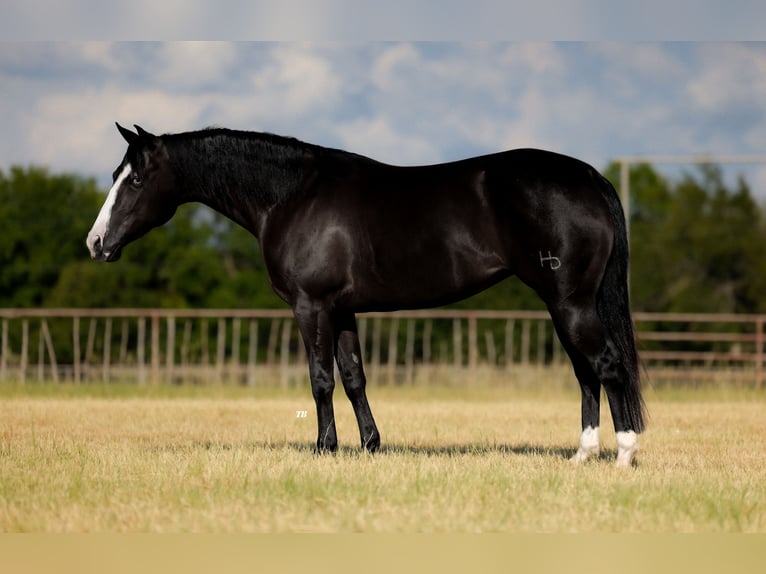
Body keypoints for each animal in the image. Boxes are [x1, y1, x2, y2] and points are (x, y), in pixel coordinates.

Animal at [87, 126, 644, 468]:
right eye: (116, 176)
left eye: (135, 178)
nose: (95, 243)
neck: (291, 196)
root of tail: (590, 178)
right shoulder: (343, 309)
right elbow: (354, 378)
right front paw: (372, 446)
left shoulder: (311, 307)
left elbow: (320, 380)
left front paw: (324, 449)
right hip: (563, 305)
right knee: (586, 372)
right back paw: (582, 454)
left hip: (570, 302)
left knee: (607, 365)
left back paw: (623, 453)